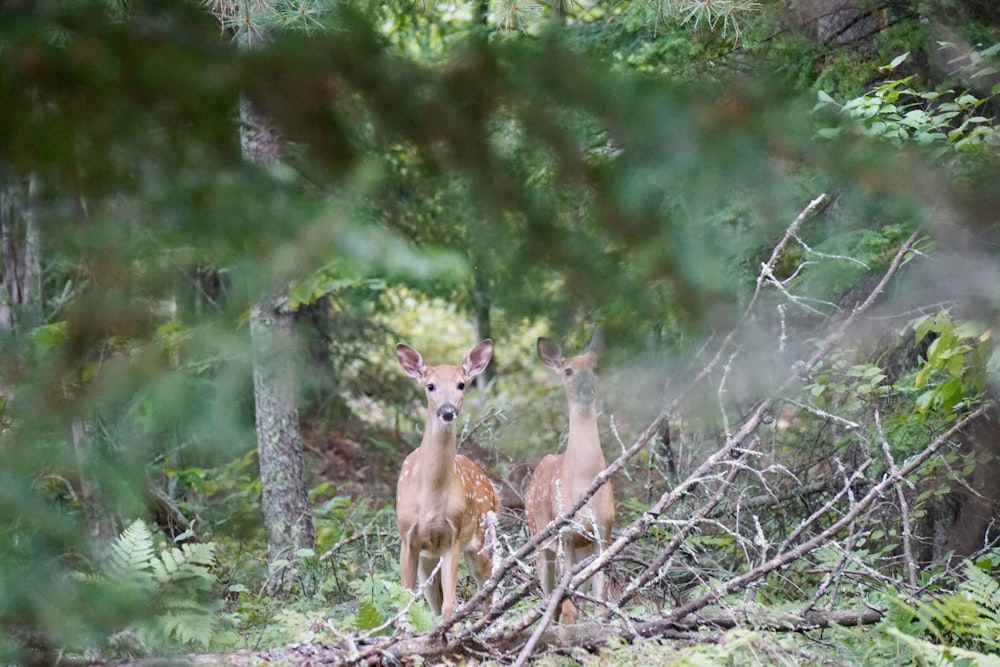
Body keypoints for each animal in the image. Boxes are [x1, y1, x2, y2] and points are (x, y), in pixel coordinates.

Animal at [392, 342, 498, 620]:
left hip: (480, 537)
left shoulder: (454, 537)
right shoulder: (408, 537)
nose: (448, 412)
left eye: (462, 384)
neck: (431, 499)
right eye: (430, 386)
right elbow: (405, 599)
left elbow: (450, 605)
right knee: (434, 602)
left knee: (487, 587)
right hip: (429, 557)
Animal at [524, 332, 616, 624]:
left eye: (596, 367)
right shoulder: (564, 535)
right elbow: (566, 605)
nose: (587, 387)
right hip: (539, 536)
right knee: (548, 593)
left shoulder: (603, 533)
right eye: (568, 370)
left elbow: (600, 598)